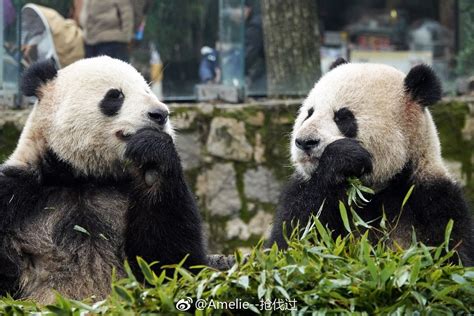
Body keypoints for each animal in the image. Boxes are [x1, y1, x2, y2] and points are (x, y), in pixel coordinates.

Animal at [0, 57, 207, 304]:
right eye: (115, 95)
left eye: (147, 91)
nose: (160, 114)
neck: (82, 177)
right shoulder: (18, 195)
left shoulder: (125, 192)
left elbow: (172, 261)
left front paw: (152, 159)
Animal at [270, 58, 474, 266]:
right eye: (309, 113)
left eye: (343, 117)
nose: (305, 142)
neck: (376, 189)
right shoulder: (302, 190)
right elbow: (291, 241)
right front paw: (343, 158)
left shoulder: (434, 199)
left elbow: (449, 253)